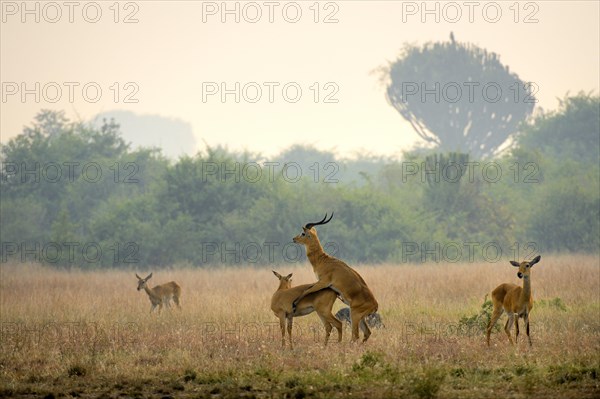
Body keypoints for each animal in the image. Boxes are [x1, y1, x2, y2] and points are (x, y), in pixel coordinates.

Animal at [292, 214, 380, 342]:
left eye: (303, 233)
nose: (293, 239)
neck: (323, 260)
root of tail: (375, 306)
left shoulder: (323, 282)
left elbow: (306, 290)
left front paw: (294, 304)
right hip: (360, 318)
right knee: (367, 333)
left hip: (354, 315)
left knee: (355, 335)